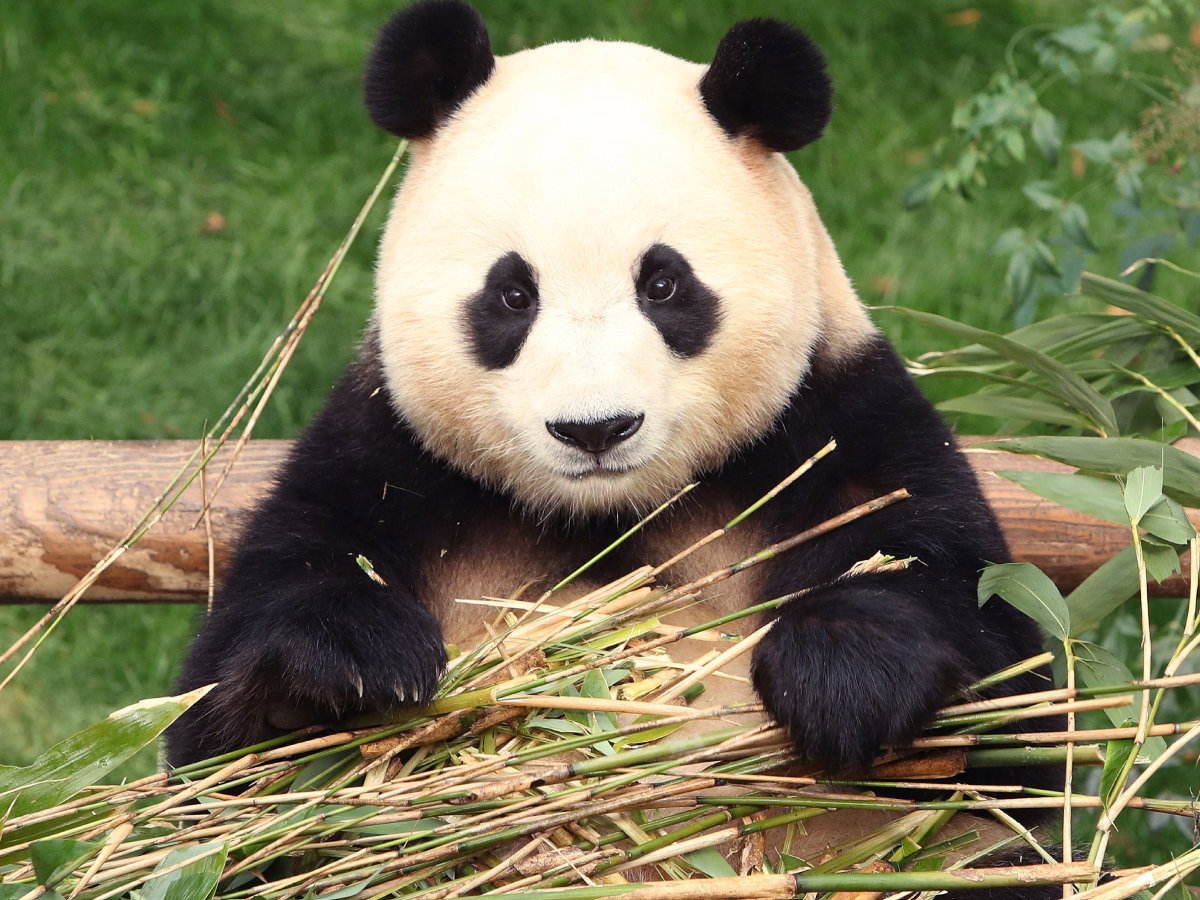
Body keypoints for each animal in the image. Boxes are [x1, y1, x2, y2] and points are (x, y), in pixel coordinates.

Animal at [167, 0, 1054, 813]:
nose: (594, 429)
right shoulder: (384, 457)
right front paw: (358, 662)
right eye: (512, 294)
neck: (607, 517)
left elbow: (990, 654)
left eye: (663, 284)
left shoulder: (835, 423)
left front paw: (842, 674)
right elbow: (218, 733)